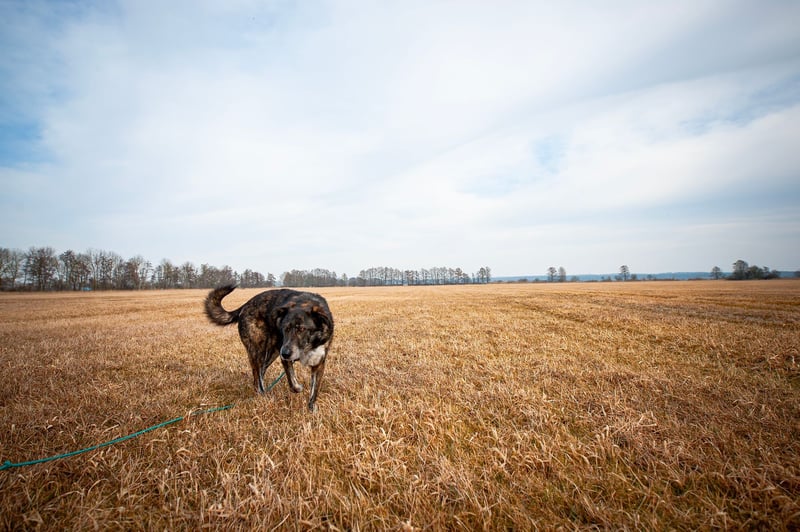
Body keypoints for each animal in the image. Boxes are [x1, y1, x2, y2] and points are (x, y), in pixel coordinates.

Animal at [204, 284, 334, 411]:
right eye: (285, 328)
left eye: (301, 329)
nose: (285, 353)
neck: (308, 346)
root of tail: (245, 306)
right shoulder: (285, 358)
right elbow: (292, 382)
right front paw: (298, 388)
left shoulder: (318, 363)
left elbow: (314, 390)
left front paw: (312, 409)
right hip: (259, 351)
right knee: (257, 375)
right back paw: (262, 395)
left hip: (272, 353)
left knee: (261, 371)